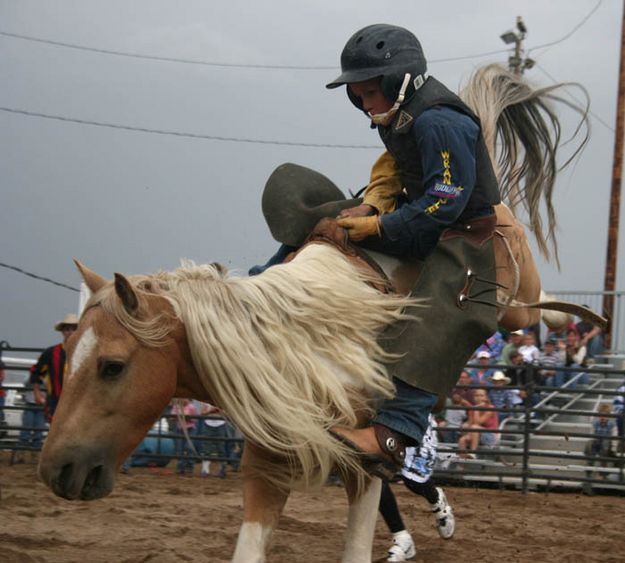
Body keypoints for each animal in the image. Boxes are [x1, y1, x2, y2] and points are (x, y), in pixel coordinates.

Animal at [39, 64, 588, 560]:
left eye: (112, 366)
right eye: (69, 352)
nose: (55, 470)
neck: (303, 348)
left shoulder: (365, 468)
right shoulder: (267, 464)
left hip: (506, 281)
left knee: (527, 308)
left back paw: (569, 316)